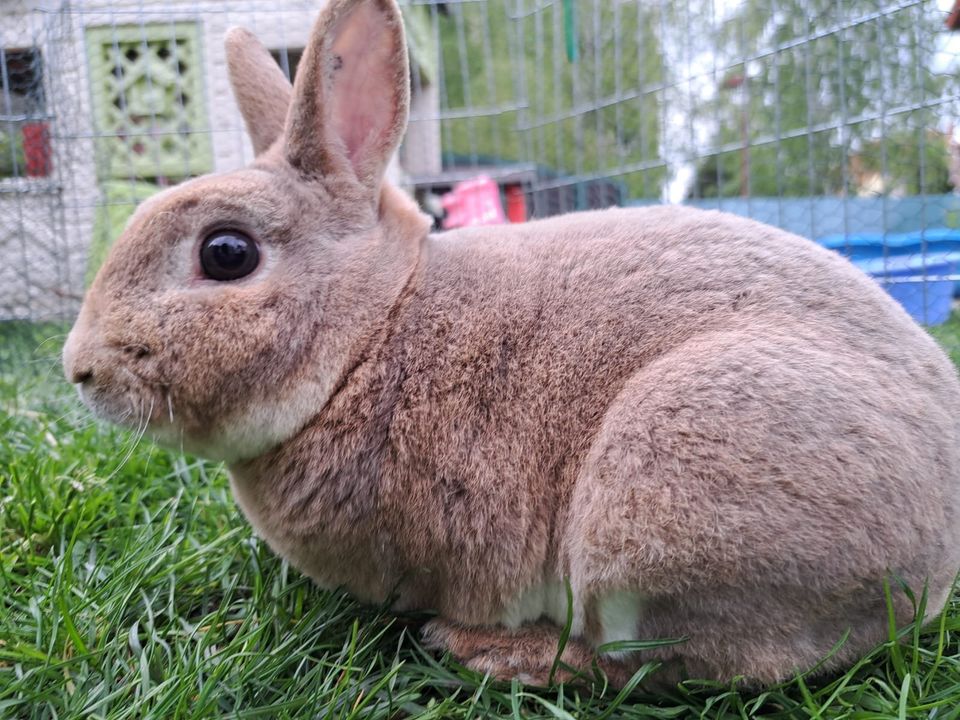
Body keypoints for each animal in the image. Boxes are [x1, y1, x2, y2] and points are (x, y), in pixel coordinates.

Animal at [63, 0, 960, 688]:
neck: (372, 334)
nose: (81, 369)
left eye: (227, 253)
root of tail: (931, 564)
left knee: (660, 666)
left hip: (658, 498)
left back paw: (497, 654)